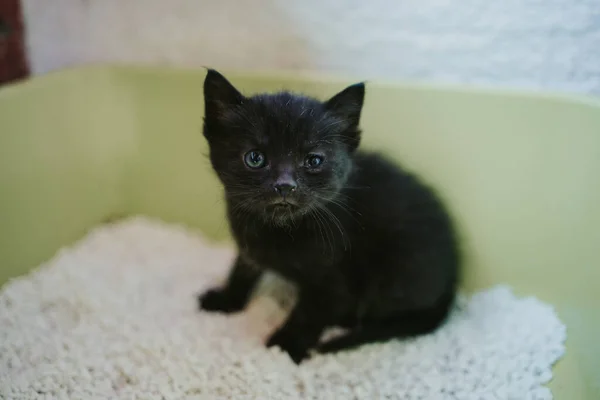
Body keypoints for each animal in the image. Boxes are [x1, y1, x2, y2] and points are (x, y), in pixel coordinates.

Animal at [197, 70, 460, 364]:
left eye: (313, 160)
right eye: (255, 158)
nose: (285, 185)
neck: (280, 228)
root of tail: (453, 279)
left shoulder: (334, 279)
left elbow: (311, 311)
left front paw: (286, 346)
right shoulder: (248, 246)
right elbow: (241, 270)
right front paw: (226, 299)